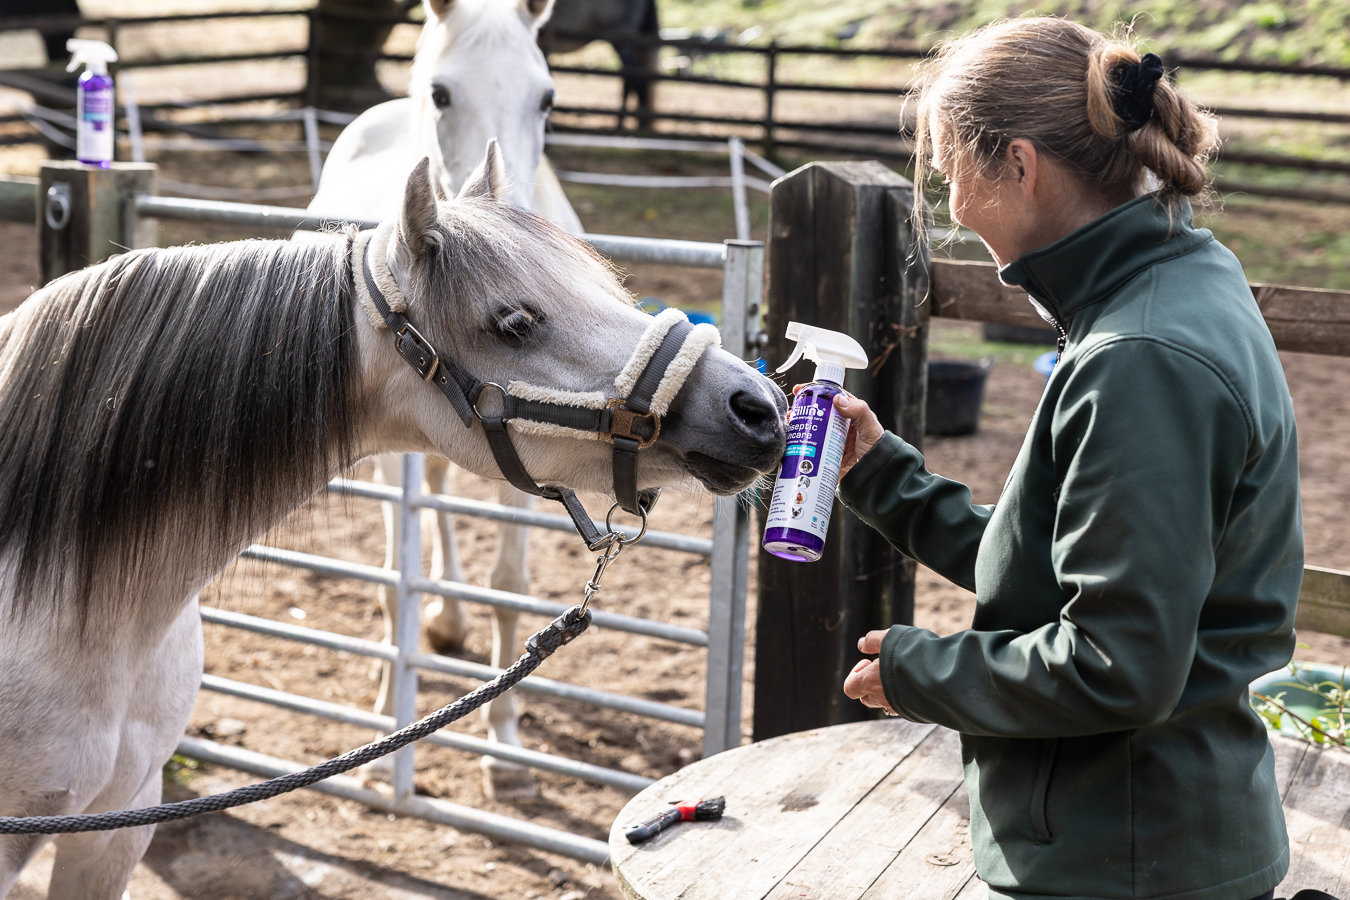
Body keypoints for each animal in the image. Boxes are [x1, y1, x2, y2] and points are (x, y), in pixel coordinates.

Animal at [307, 0, 588, 798]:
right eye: (442, 93)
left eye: (547, 97)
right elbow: (395, 578)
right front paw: (385, 738)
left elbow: (509, 582)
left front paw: (506, 751)